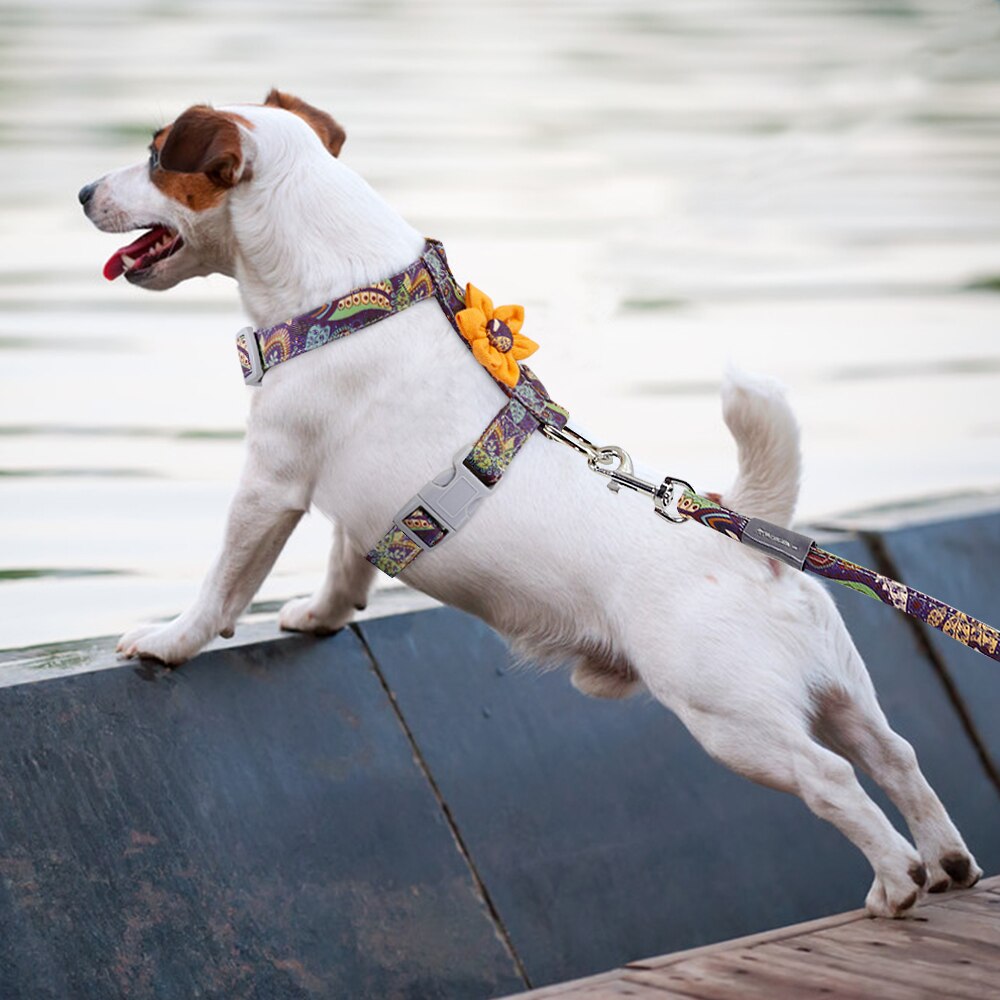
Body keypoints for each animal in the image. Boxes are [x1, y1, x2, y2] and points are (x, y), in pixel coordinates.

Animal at [80, 92, 984, 916]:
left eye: (157, 155)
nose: (84, 190)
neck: (345, 300)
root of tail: (747, 540)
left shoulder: (271, 481)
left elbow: (224, 584)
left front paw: (168, 641)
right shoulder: (357, 510)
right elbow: (347, 566)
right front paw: (319, 614)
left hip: (733, 719)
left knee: (832, 778)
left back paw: (896, 881)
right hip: (834, 690)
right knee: (895, 754)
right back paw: (948, 861)